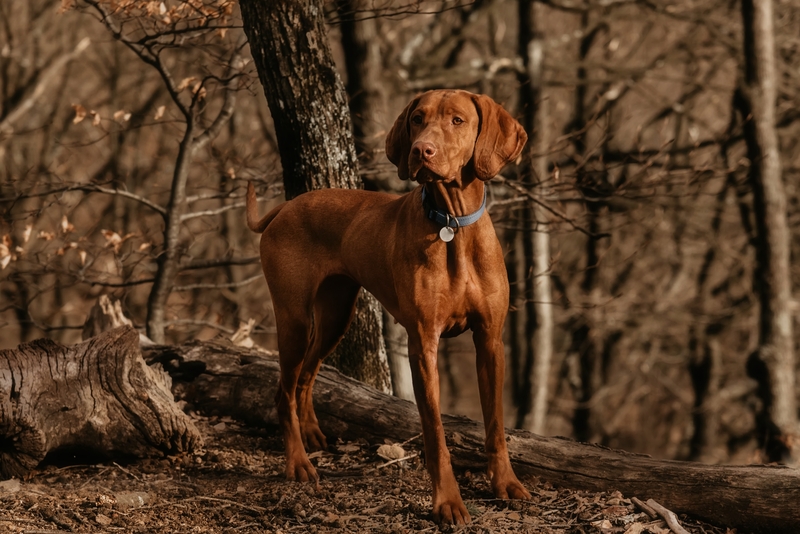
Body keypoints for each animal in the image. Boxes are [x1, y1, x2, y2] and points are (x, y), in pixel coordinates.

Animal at [247, 90, 528, 524]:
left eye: (458, 120)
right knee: (283, 391)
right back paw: (298, 462)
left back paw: (312, 434)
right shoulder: (423, 345)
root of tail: (285, 207)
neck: (453, 224)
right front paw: (448, 502)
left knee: (306, 376)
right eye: (417, 119)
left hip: (336, 316)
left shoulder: (490, 341)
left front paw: (507, 484)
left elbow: (496, 426)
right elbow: (435, 433)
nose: (421, 150)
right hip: (293, 318)